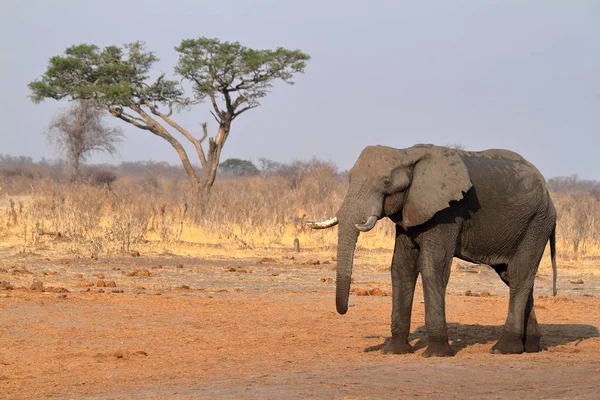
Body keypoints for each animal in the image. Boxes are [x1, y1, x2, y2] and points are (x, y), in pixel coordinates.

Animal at [304, 144, 556, 356]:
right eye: (349, 179)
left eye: (386, 183)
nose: (344, 311)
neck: (407, 154)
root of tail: (548, 192)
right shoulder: (410, 210)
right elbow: (401, 267)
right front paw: (394, 351)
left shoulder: (446, 212)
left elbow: (432, 266)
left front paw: (436, 353)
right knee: (512, 276)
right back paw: (530, 347)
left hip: (537, 222)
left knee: (520, 274)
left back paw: (503, 349)